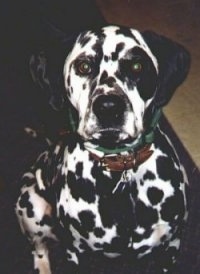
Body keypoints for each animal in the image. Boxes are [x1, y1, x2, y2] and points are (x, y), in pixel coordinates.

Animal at [14, 24, 190, 272]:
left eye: (137, 66)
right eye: (84, 66)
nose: (108, 107)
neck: (121, 170)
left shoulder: (169, 248)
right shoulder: (76, 252)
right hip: (31, 208)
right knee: (39, 251)